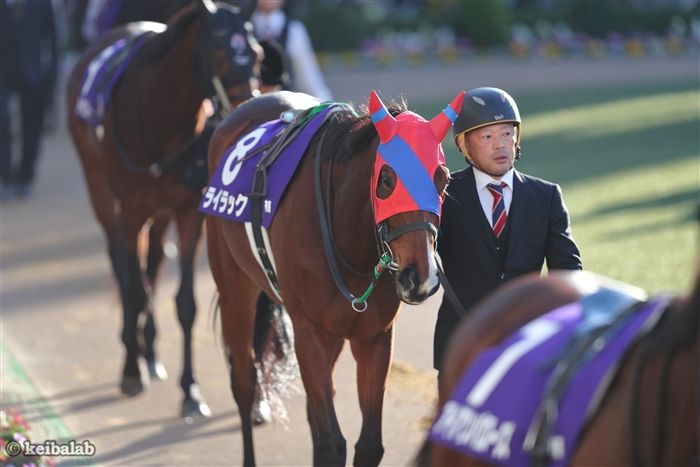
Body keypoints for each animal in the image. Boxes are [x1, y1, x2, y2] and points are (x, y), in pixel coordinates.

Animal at [66, 0, 261, 418]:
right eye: (217, 55)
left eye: (256, 53)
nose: (246, 113)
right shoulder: (131, 210)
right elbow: (133, 286)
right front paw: (130, 371)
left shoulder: (188, 212)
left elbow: (185, 302)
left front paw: (190, 390)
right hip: (100, 190)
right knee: (123, 264)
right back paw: (133, 349)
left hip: (159, 212)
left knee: (153, 262)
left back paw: (150, 353)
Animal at [202, 89, 465, 466]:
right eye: (387, 179)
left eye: (442, 178)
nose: (420, 278)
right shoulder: (309, 333)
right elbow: (331, 443)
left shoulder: (374, 336)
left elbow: (368, 444)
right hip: (235, 292)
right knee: (243, 382)